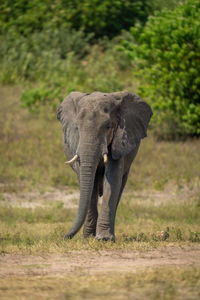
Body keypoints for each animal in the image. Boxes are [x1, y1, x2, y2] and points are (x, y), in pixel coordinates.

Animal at [57, 91, 152, 241]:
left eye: (108, 126)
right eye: (77, 128)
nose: (65, 236)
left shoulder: (119, 140)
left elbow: (112, 179)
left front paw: (104, 239)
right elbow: (90, 185)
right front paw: (89, 238)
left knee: (120, 187)